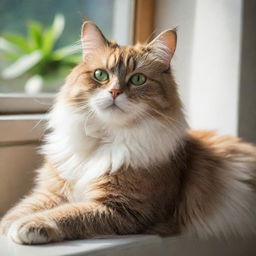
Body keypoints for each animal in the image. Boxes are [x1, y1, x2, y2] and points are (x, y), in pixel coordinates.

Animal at [0, 21, 256, 244]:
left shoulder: (124, 209)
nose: (114, 92)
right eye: (101, 75)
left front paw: (29, 225)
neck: (104, 140)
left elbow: (69, 213)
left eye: (138, 79)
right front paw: (8, 226)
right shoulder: (52, 191)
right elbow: (21, 209)